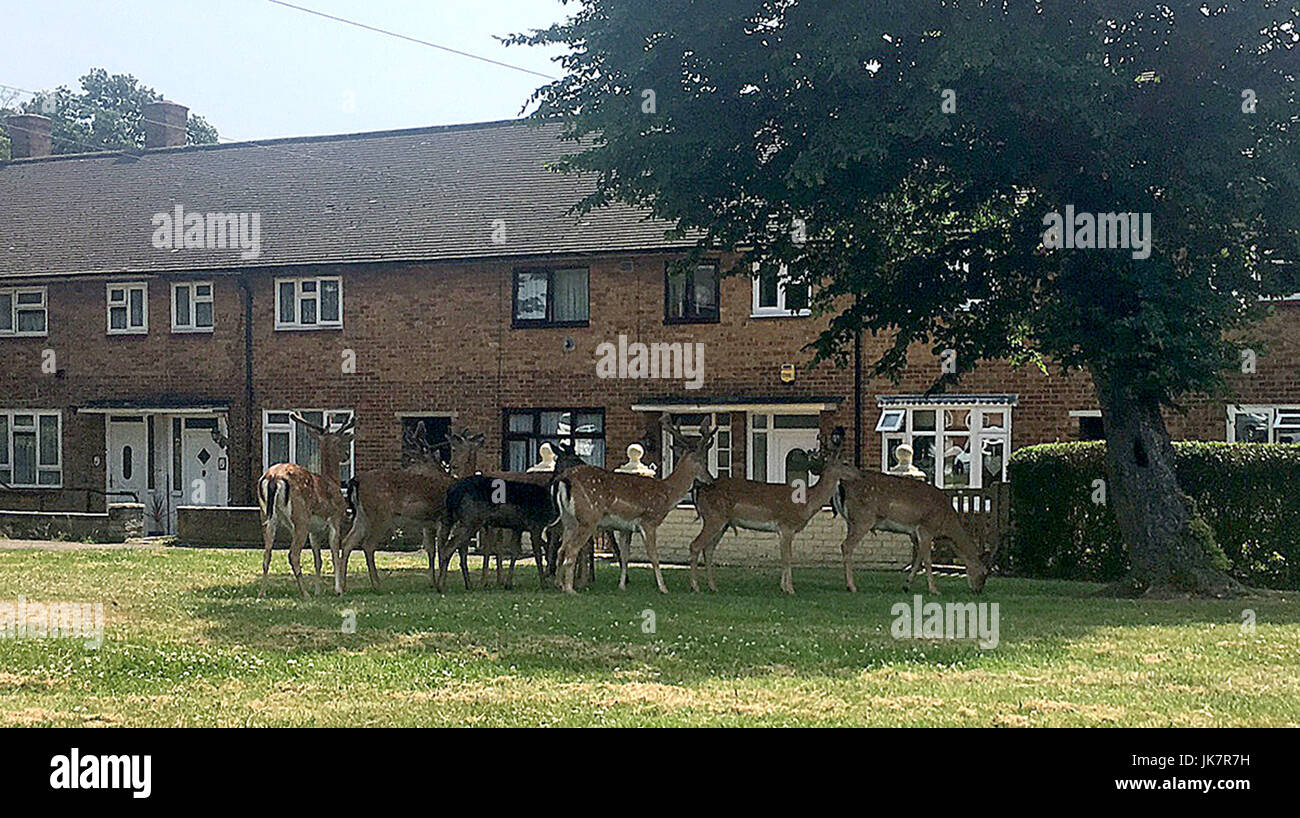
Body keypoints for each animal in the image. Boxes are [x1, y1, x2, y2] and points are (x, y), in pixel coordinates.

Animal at [256, 412, 354, 599]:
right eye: (341, 441)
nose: (346, 455)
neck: (332, 480)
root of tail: (273, 478)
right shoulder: (335, 519)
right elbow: (335, 555)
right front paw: (338, 590)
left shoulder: (314, 531)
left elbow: (318, 560)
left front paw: (318, 591)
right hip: (300, 516)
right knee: (293, 555)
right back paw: (305, 593)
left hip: (266, 516)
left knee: (266, 554)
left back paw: (262, 593)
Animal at [337, 425, 484, 594]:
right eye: (454, 447)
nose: (453, 465)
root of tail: (356, 480)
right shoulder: (444, 519)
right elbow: (443, 550)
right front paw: (441, 584)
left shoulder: (431, 524)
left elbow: (434, 550)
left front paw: (436, 582)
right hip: (380, 515)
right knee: (368, 545)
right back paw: (377, 585)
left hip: (362, 516)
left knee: (348, 542)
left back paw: (343, 587)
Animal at [551, 414, 716, 594]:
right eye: (702, 461)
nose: (710, 480)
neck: (667, 494)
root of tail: (565, 478)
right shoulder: (649, 521)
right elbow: (653, 556)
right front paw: (663, 588)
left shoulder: (625, 528)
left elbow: (624, 556)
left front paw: (622, 585)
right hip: (589, 518)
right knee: (572, 549)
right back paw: (570, 589)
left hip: (568, 519)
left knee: (561, 549)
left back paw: (559, 584)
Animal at [687, 435, 860, 595]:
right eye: (846, 463)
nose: (858, 474)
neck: (806, 501)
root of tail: (700, 490)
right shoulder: (786, 526)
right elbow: (787, 557)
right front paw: (790, 589)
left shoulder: (783, 530)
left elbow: (784, 557)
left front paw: (783, 587)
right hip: (713, 517)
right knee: (695, 545)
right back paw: (695, 586)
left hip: (723, 523)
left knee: (708, 549)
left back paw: (713, 586)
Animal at [832, 471, 992, 595]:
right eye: (984, 573)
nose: (978, 590)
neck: (946, 525)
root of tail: (841, 485)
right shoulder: (926, 528)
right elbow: (927, 560)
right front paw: (934, 590)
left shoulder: (914, 533)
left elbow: (918, 558)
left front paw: (906, 585)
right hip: (863, 519)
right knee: (846, 545)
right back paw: (852, 586)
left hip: (851, 521)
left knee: (845, 545)